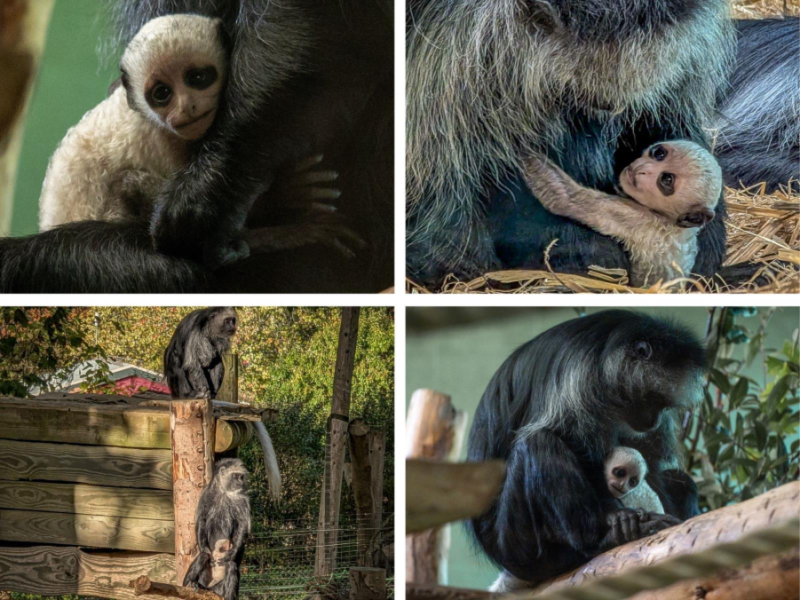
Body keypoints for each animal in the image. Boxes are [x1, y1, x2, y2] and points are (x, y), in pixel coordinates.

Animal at [164, 307, 281, 500]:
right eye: (228, 320)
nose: (233, 326)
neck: (209, 329)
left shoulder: (221, 339)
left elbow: (214, 358)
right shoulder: (196, 332)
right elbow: (192, 363)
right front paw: (202, 390)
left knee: (217, 361)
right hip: (178, 385)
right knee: (180, 361)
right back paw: (196, 393)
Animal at [183, 458, 251, 600]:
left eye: (241, 477)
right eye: (236, 476)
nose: (241, 482)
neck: (224, 492)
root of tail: (211, 587)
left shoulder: (241, 499)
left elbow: (242, 524)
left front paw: (233, 551)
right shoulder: (206, 495)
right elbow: (202, 519)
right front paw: (203, 546)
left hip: (220, 587)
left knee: (231, 564)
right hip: (204, 579)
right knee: (203, 556)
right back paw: (191, 583)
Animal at [468, 310, 704, 585]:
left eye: (664, 405)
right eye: (650, 399)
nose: (652, 421)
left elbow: (651, 462)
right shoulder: (580, 376)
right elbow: (578, 447)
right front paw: (616, 516)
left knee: (679, 479)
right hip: (514, 541)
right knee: (539, 442)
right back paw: (601, 539)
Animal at [522, 141, 722, 287]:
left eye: (666, 179)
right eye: (659, 154)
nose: (642, 169)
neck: (670, 220)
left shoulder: (639, 220)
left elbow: (566, 198)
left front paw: (524, 154)